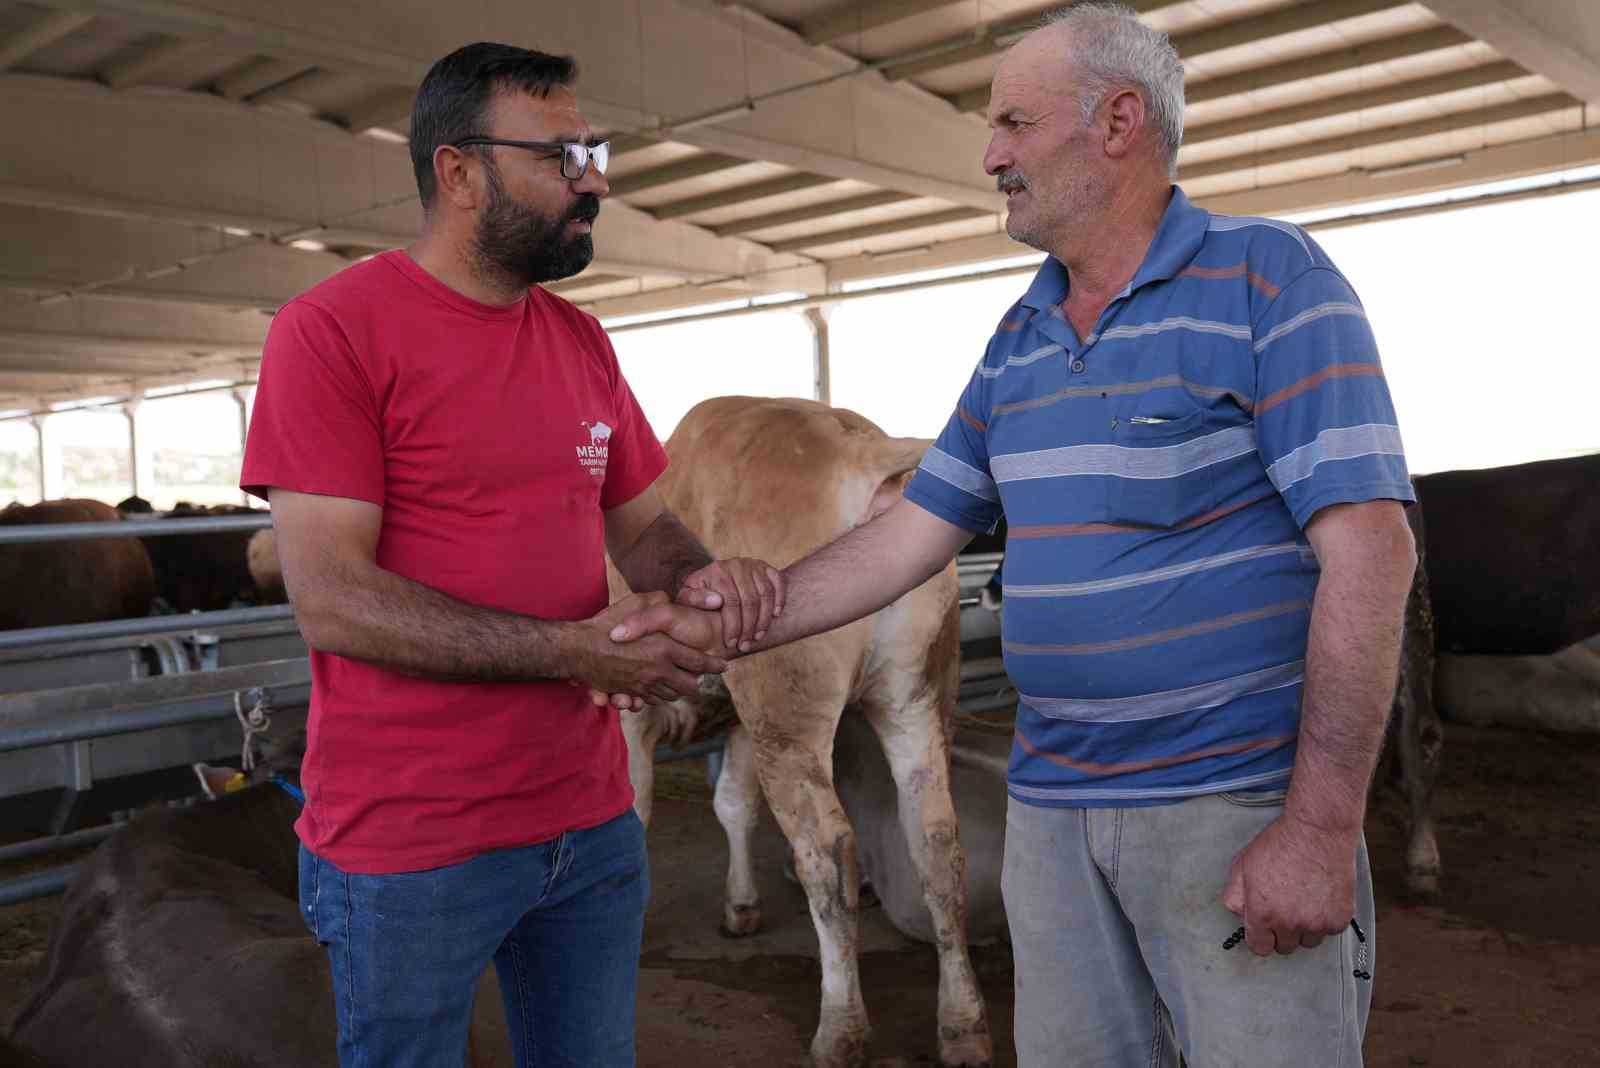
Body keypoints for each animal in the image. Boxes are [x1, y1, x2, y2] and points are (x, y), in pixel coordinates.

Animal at [620, 396, 985, 1068]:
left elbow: (637, 810)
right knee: (937, 845)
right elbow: (733, 804)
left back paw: (840, 1031)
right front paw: (741, 907)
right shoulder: (742, 719)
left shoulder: (639, 710)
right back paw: (964, 1027)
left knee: (829, 852)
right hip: (917, 698)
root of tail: (863, 448)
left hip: (789, 710)